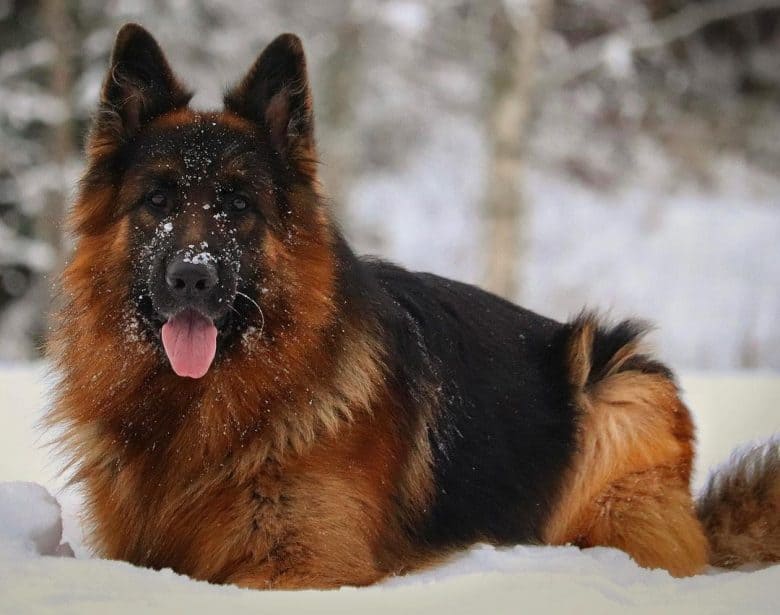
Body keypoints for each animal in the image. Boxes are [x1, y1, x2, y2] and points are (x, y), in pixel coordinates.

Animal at [50, 25, 780, 592]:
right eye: (158, 201)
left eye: (237, 206)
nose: (191, 279)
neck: (201, 412)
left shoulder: (301, 565)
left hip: (613, 382)